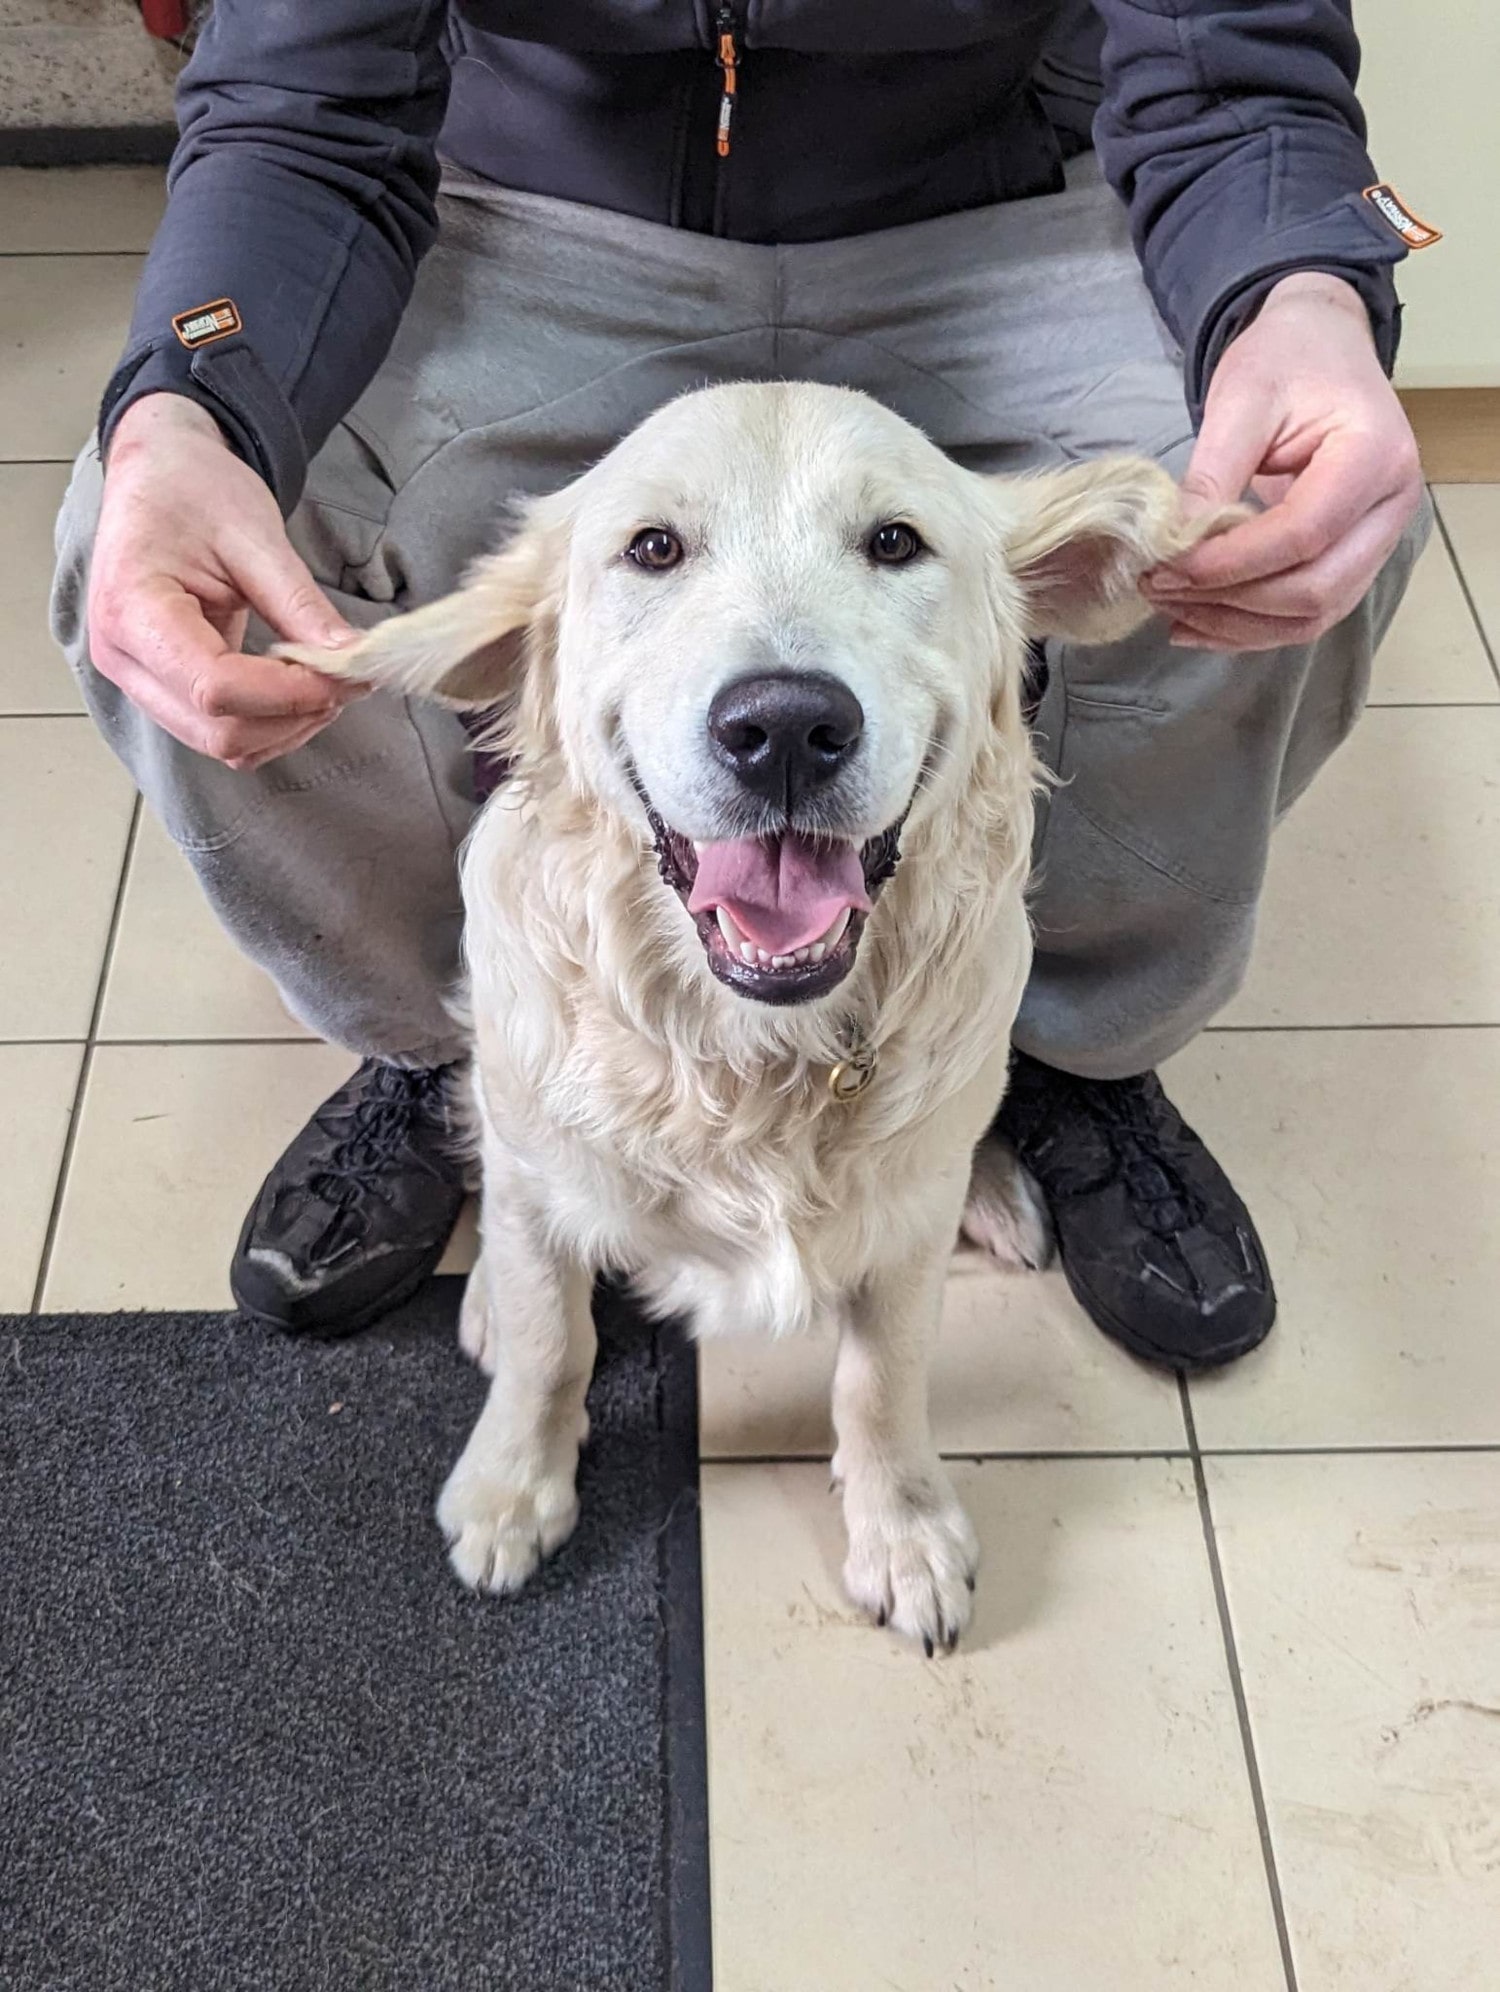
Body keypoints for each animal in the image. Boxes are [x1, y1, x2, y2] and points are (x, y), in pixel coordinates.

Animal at [286, 380, 1235, 1657]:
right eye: (652, 548)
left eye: (895, 542)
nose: (784, 726)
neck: (752, 1055)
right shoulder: (544, 1150)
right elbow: (550, 1340)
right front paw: (512, 1488)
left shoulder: (898, 1242)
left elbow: (883, 1379)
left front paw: (904, 1532)